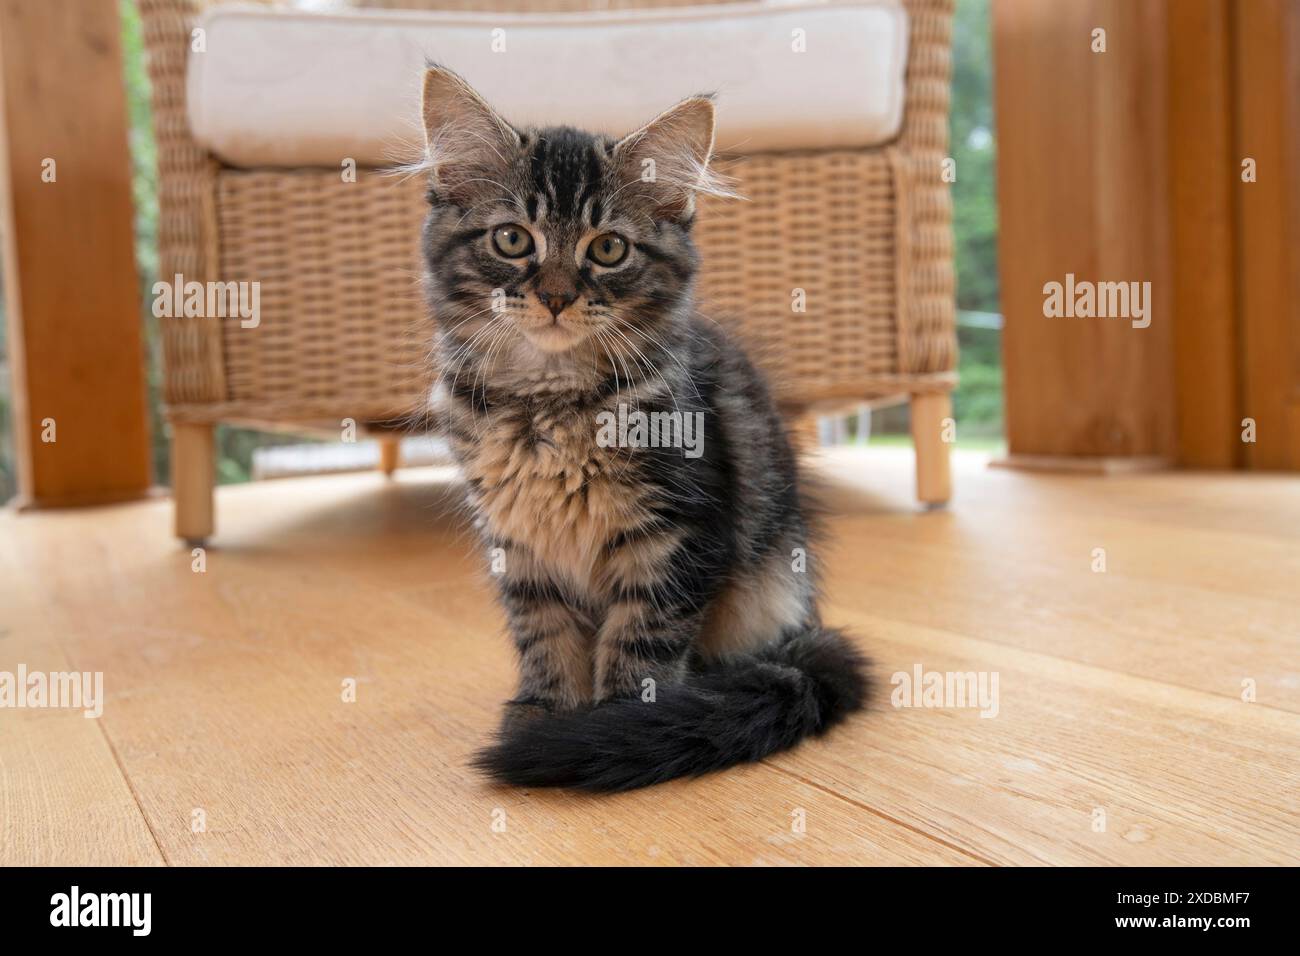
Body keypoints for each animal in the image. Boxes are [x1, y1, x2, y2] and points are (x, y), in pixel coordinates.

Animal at [421, 63, 868, 790]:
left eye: (608, 249)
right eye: (512, 239)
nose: (556, 296)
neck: (550, 403)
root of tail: (806, 624)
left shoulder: (676, 533)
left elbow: (640, 642)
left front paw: (616, 727)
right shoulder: (519, 545)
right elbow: (544, 638)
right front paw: (546, 713)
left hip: (766, 587)